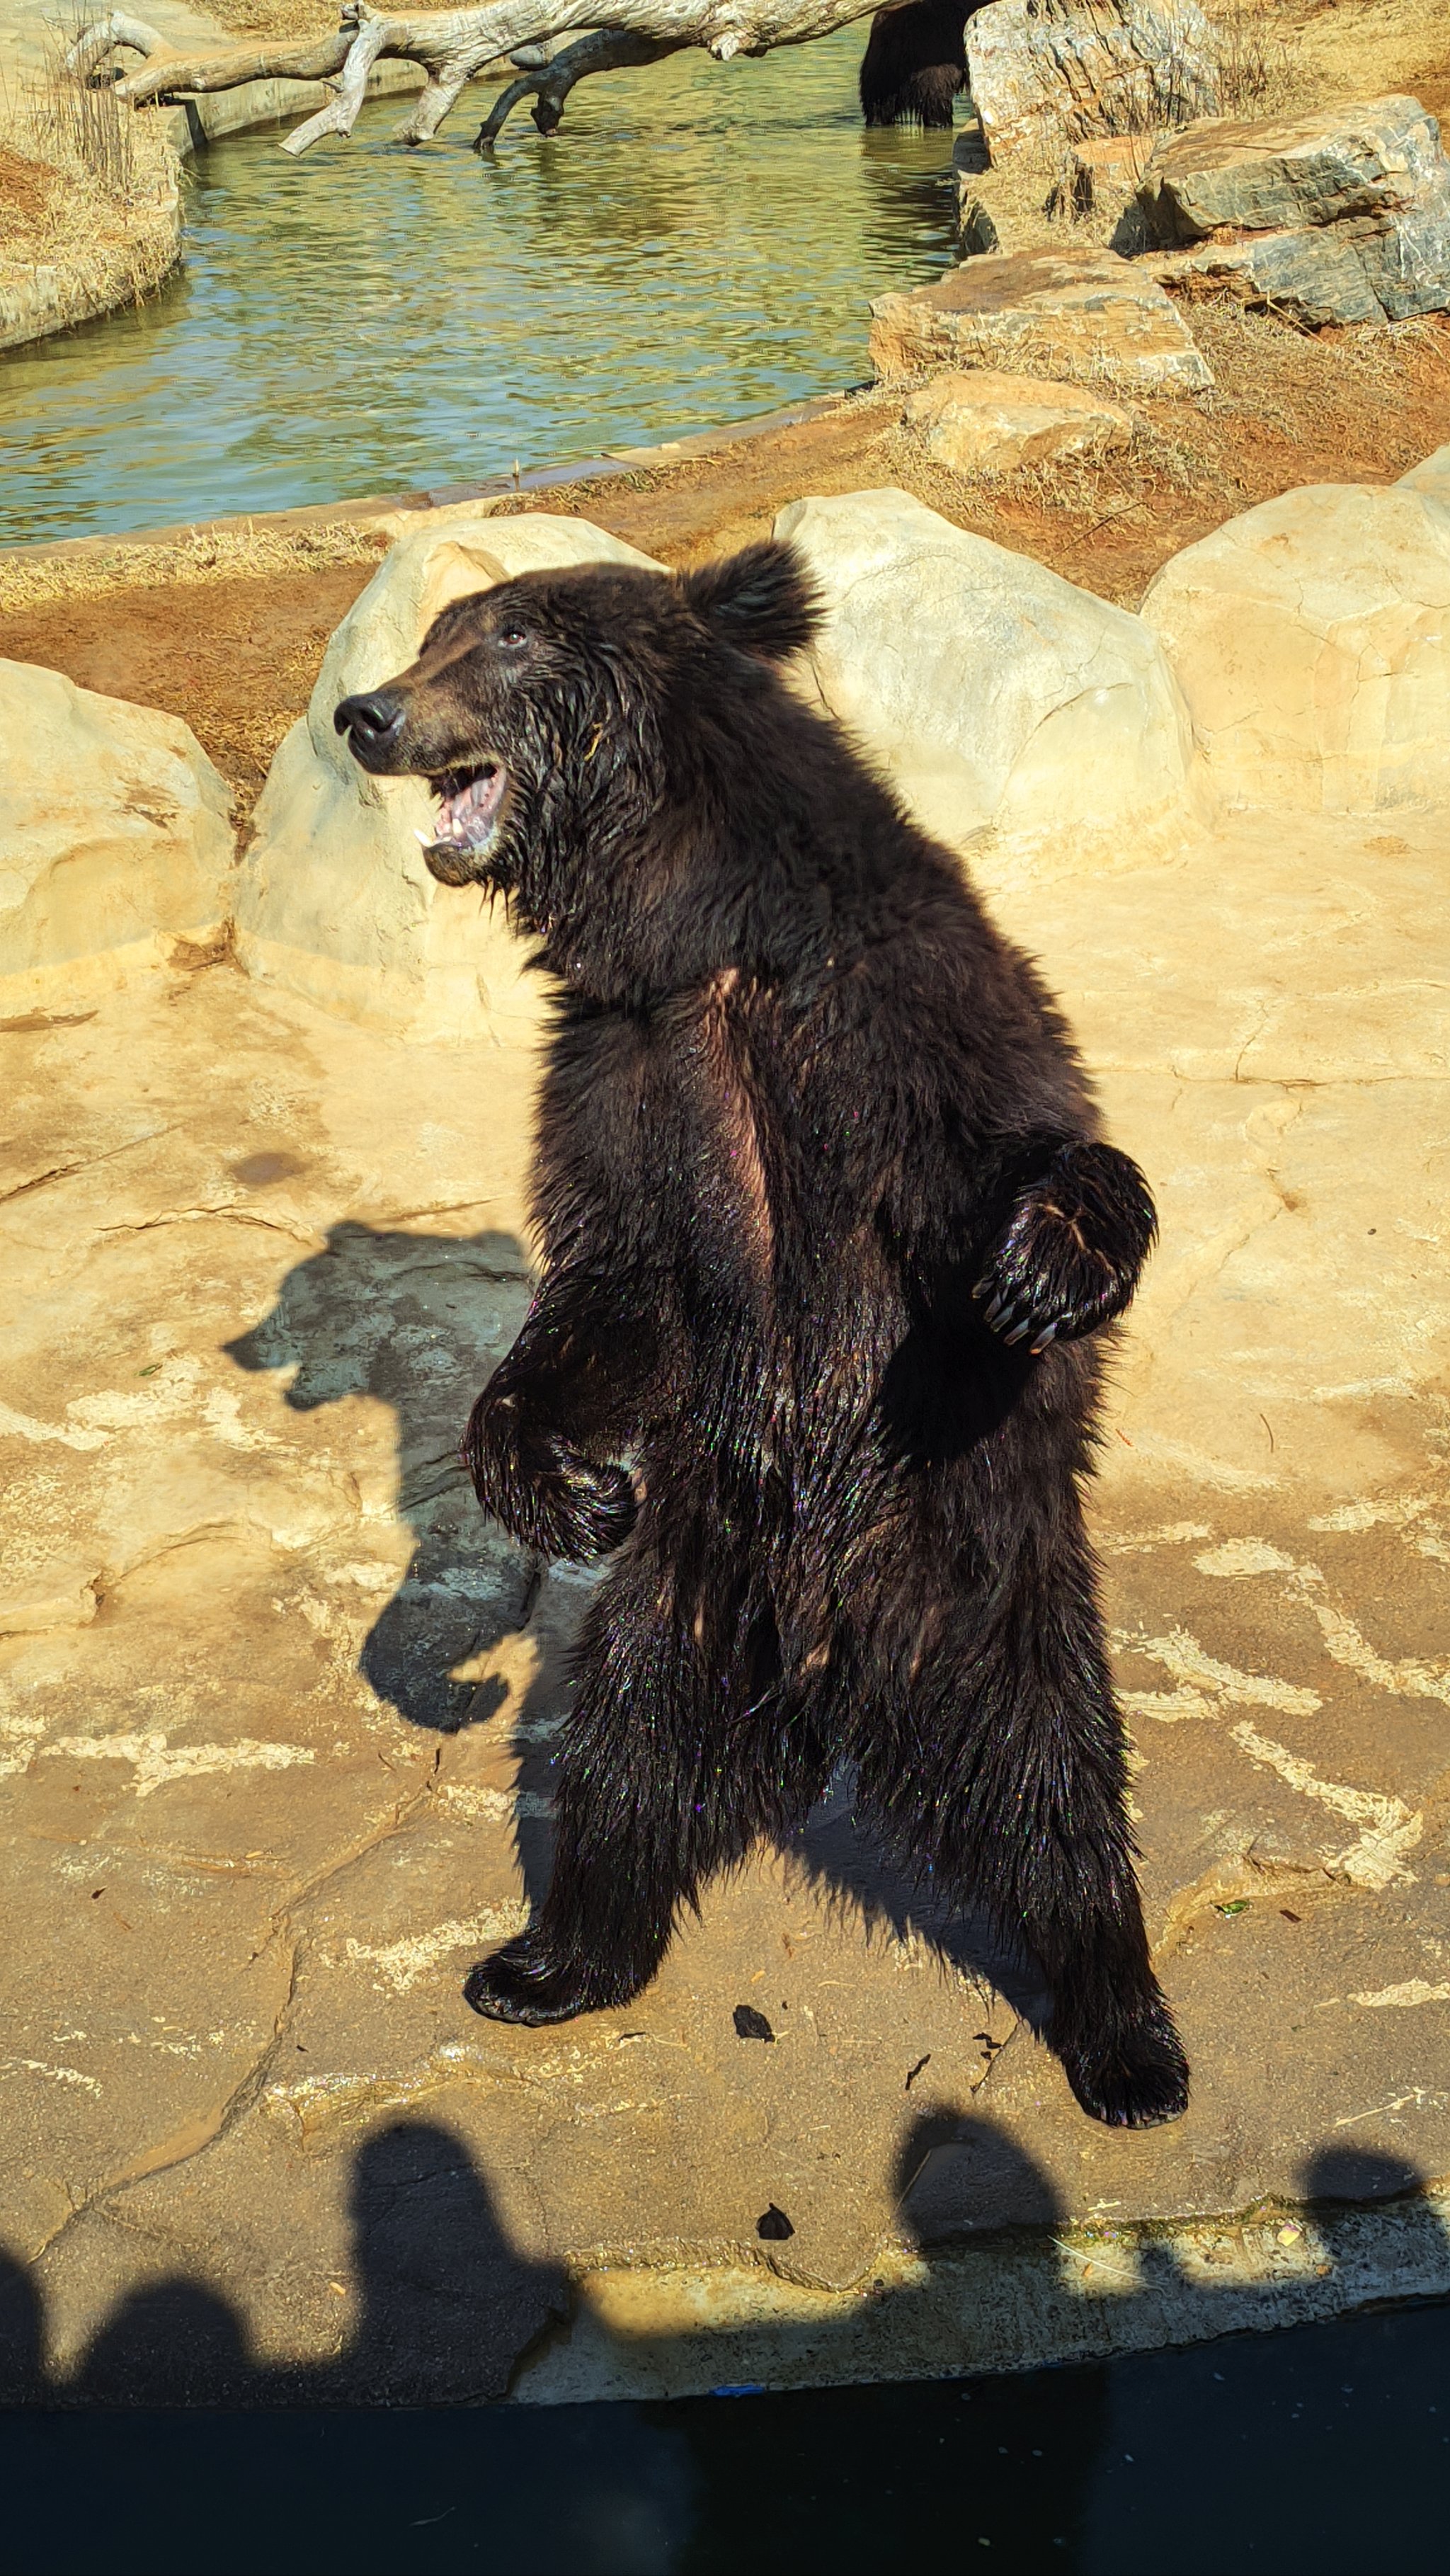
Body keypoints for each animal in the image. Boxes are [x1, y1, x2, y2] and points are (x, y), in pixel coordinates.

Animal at [337, 543, 1189, 2133]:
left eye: (507, 636)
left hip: (980, 1572)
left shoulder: (892, 1019)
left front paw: (1047, 1259)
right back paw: (549, 1957)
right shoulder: (623, 1067)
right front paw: (555, 1483)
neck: (702, 931)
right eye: (434, 635)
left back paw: (1126, 2035)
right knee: (620, 1759)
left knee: (1054, 1788)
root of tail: (833, 1676)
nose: (366, 713)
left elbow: (1022, 1143)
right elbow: (616, 1285)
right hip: (688, 1583)